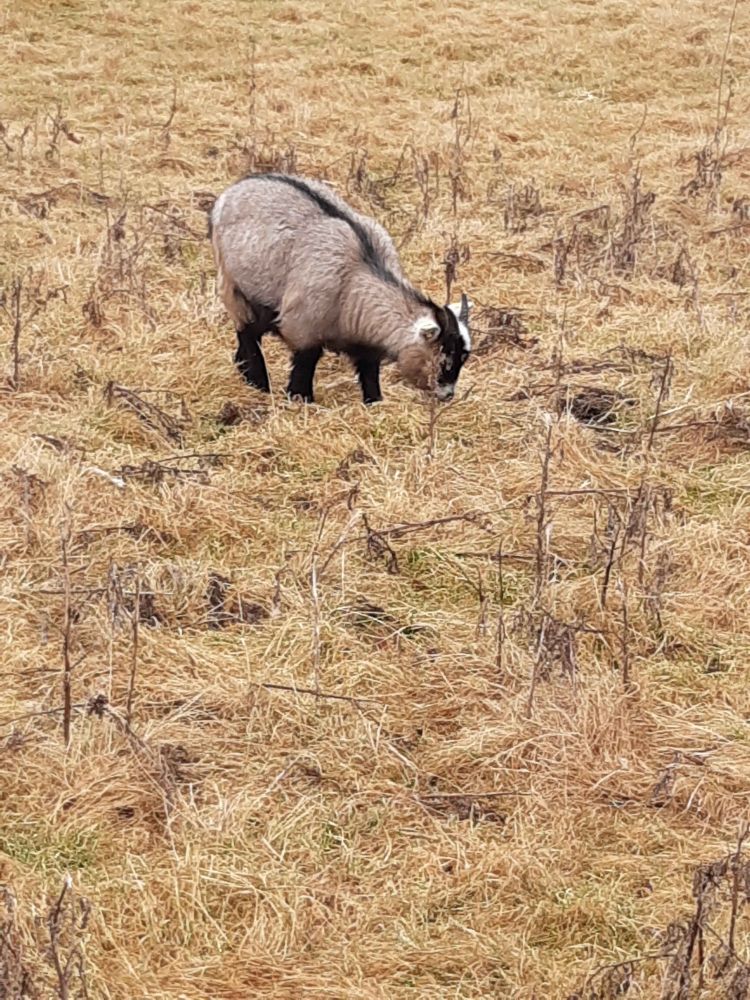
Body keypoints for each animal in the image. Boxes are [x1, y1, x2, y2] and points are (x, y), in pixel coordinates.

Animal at [209, 173, 471, 404]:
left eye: (463, 359)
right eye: (444, 361)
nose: (447, 395)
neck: (353, 279)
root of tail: (231, 191)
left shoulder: (366, 344)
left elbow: (369, 372)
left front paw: (374, 401)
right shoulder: (303, 329)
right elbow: (305, 365)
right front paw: (301, 399)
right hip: (233, 286)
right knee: (246, 332)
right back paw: (259, 382)